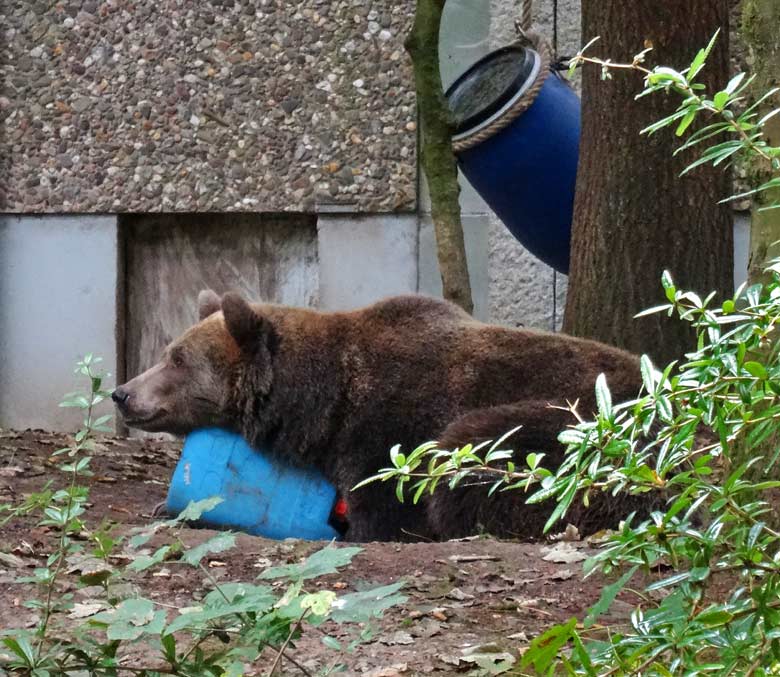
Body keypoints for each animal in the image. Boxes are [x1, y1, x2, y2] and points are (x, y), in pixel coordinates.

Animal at [112, 290, 644, 540]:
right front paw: (164, 508)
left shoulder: (390, 431)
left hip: (576, 434)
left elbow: (386, 513)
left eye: (177, 359)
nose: (123, 393)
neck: (324, 405)